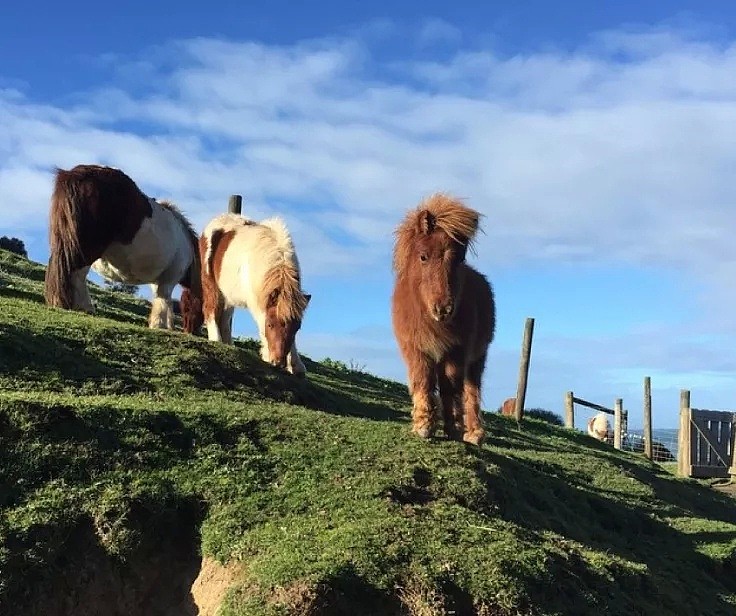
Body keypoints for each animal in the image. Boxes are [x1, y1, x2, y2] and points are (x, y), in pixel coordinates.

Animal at [44, 164, 203, 334]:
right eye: (189, 306)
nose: (190, 332)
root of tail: (74, 174)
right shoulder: (169, 278)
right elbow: (164, 300)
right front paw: (162, 325)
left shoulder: (158, 281)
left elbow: (160, 299)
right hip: (85, 249)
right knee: (78, 274)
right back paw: (85, 307)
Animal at [198, 212, 310, 376]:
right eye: (270, 325)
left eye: (297, 328)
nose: (278, 363)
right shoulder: (257, 302)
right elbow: (261, 325)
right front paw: (267, 356)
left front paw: (296, 366)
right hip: (212, 285)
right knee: (211, 310)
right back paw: (216, 340)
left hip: (228, 295)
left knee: (224, 318)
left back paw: (229, 345)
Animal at [392, 195, 494, 446]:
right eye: (423, 256)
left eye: (459, 259)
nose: (444, 309)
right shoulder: (415, 349)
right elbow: (422, 381)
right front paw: (423, 425)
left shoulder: (456, 351)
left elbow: (451, 388)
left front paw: (453, 428)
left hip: (477, 358)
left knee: (472, 389)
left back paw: (475, 433)